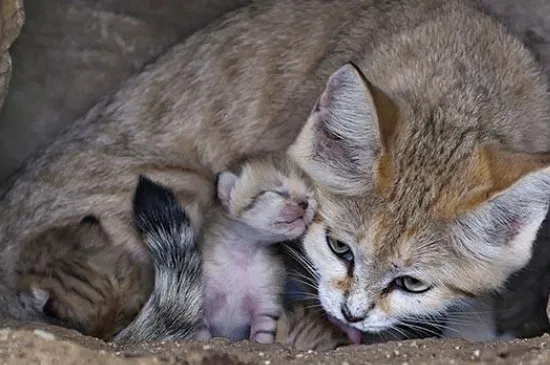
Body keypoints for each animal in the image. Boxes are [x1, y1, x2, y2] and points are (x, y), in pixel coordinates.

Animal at [203, 155, 316, 342]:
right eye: (279, 192)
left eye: (309, 195)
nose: (305, 203)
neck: (244, 254)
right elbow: (199, 333)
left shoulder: (265, 306)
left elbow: (262, 337)